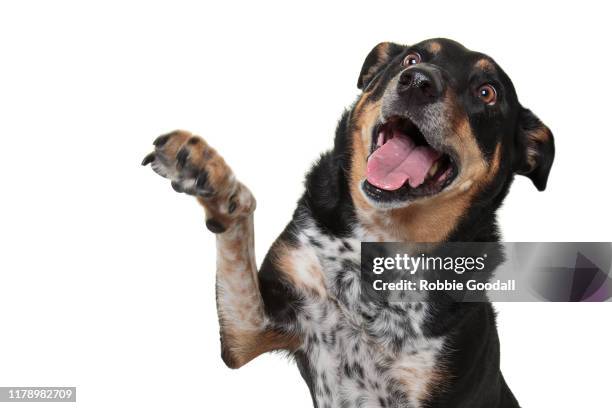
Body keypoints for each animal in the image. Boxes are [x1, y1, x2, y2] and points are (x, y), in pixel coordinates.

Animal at [142, 37, 556, 404]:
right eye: (412, 58)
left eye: (487, 92)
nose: (418, 81)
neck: (382, 246)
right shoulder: (250, 331)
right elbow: (239, 237)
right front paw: (209, 175)